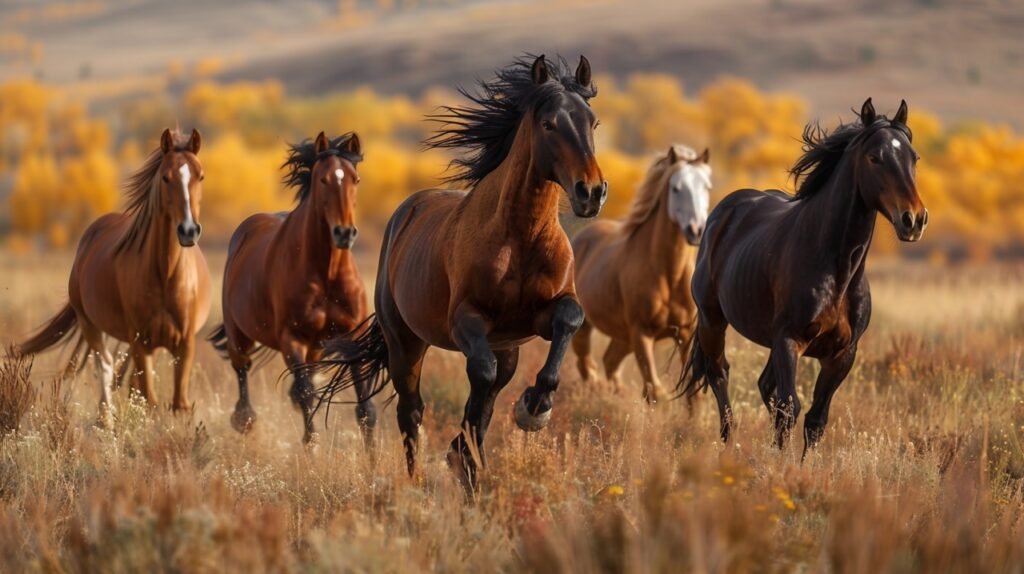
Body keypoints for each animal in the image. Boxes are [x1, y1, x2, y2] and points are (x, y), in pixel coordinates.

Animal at [18, 129, 211, 423]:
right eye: (166, 177)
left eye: (200, 176)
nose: (188, 230)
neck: (166, 275)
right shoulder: (140, 341)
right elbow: (150, 400)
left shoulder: (184, 344)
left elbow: (179, 404)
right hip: (91, 324)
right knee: (105, 366)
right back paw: (105, 420)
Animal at [207, 130, 372, 444]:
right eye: (323, 180)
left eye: (356, 179)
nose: (344, 233)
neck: (326, 274)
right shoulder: (291, 340)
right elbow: (306, 395)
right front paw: (312, 445)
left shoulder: (352, 337)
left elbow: (365, 409)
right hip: (239, 336)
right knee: (242, 369)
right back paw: (244, 420)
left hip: (316, 347)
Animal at [307, 54, 602, 487]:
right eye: (549, 124)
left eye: (592, 122)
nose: (592, 192)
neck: (520, 236)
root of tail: (405, 212)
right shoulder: (466, 322)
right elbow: (480, 375)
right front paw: (472, 447)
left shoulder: (538, 318)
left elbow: (568, 320)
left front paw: (533, 408)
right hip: (405, 343)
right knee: (412, 410)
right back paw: (419, 482)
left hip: (507, 347)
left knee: (486, 395)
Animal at [573, 143, 708, 403]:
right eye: (676, 188)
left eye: (707, 187)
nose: (696, 230)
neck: (668, 275)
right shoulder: (641, 334)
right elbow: (654, 390)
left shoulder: (686, 334)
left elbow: (691, 396)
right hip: (585, 329)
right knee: (588, 368)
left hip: (623, 336)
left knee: (609, 362)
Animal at [679, 99, 929, 456]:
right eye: (874, 157)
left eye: (914, 158)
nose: (914, 220)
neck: (837, 272)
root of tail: (722, 212)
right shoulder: (789, 341)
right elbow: (789, 408)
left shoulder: (842, 354)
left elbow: (815, 418)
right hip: (712, 320)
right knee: (720, 375)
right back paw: (727, 445)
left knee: (764, 386)